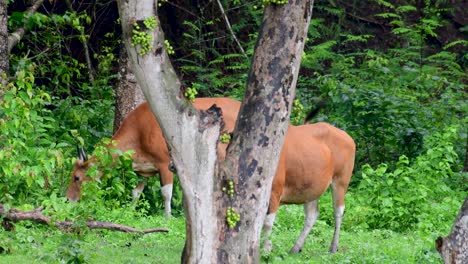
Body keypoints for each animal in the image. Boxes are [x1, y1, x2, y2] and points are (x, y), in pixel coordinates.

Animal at [66, 97, 241, 217]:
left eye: (76, 177)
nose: (68, 199)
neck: (139, 133)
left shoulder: (165, 163)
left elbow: (166, 193)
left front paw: (168, 217)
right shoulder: (145, 170)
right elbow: (136, 193)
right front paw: (130, 212)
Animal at [262, 121, 356, 254]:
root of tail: (348, 137)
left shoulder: (275, 190)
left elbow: (267, 223)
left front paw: (265, 251)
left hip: (341, 181)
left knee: (338, 210)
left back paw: (333, 247)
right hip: (312, 187)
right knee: (312, 214)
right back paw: (296, 248)